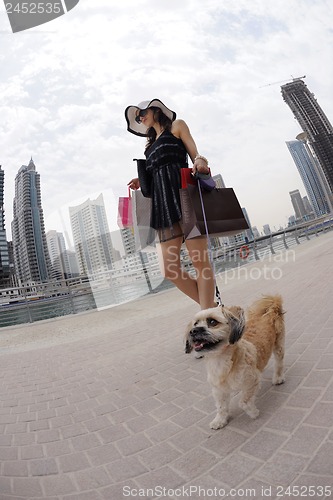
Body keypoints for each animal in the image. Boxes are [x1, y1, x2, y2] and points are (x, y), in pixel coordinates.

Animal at [184, 294, 282, 428]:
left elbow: (244, 402)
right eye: (195, 324)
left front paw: (253, 413)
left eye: (212, 322)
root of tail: (271, 308)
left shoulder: (252, 381)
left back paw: (278, 378)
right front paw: (220, 420)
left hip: (278, 345)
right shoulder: (218, 390)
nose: (193, 331)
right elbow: (221, 407)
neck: (220, 362)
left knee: (279, 363)